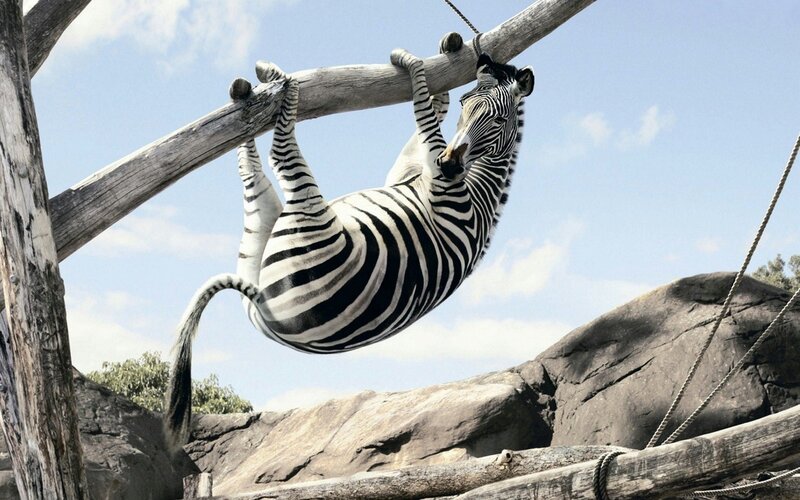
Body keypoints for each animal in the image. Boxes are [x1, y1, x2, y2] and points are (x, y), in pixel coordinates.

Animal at [165, 33, 534, 447]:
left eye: (498, 119)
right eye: (467, 104)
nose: (451, 163)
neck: (479, 190)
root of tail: (265, 309)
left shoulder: (441, 186)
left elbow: (423, 113)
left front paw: (409, 62)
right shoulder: (409, 171)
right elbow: (428, 114)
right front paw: (438, 59)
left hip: (304, 216)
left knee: (280, 152)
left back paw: (280, 82)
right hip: (257, 236)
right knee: (250, 168)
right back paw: (247, 100)